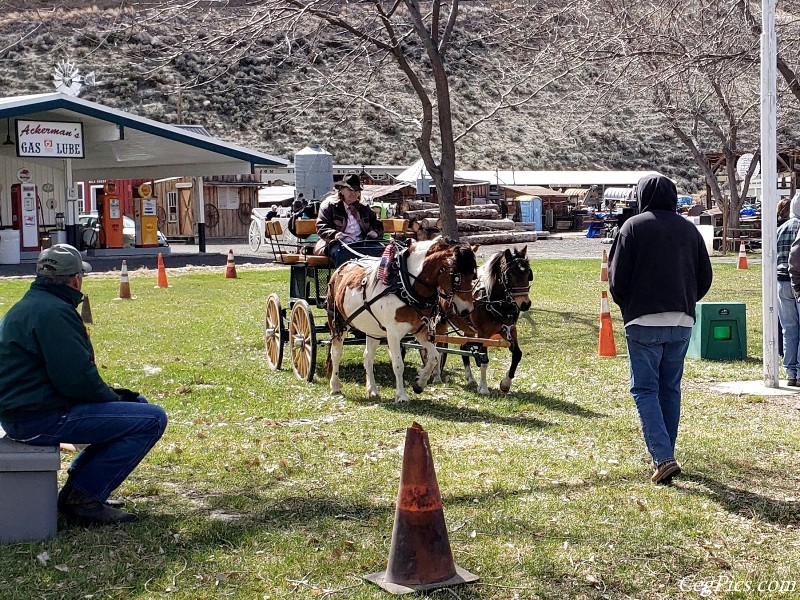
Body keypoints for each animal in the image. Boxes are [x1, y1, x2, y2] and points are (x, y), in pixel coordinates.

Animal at [324, 237, 476, 400]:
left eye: (474, 276)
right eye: (457, 277)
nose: (467, 310)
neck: (405, 285)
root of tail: (340, 269)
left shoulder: (420, 331)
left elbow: (434, 356)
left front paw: (420, 382)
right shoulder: (393, 334)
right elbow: (398, 364)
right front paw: (402, 395)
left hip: (373, 330)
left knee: (368, 357)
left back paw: (372, 390)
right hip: (337, 322)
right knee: (336, 353)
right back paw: (335, 386)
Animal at [444, 246, 532, 396]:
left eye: (528, 273)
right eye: (509, 276)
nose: (525, 304)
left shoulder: (510, 329)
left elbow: (517, 354)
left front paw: (506, 383)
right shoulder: (483, 334)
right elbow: (484, 359)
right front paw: (484, 388)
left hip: (469, 329)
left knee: (463, 347)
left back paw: (470, 378)